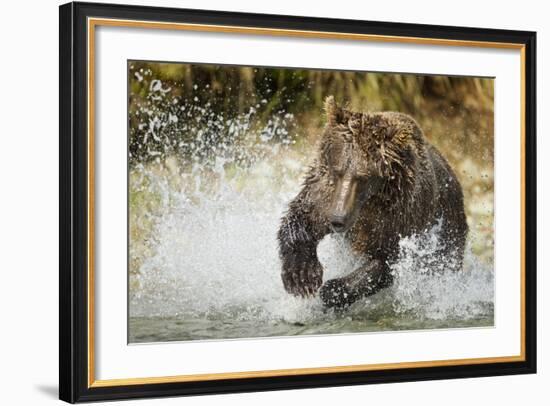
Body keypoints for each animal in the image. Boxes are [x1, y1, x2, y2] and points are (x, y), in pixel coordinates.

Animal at [278, 96, 468, 310]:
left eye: (363, 177)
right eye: (338, 170)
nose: (337, 220)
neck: (369, 201)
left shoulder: (401, 216)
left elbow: (388, 262)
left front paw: (334, 289)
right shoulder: (325, 193)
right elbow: (302, 217)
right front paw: (302, 276)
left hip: (448, 228)